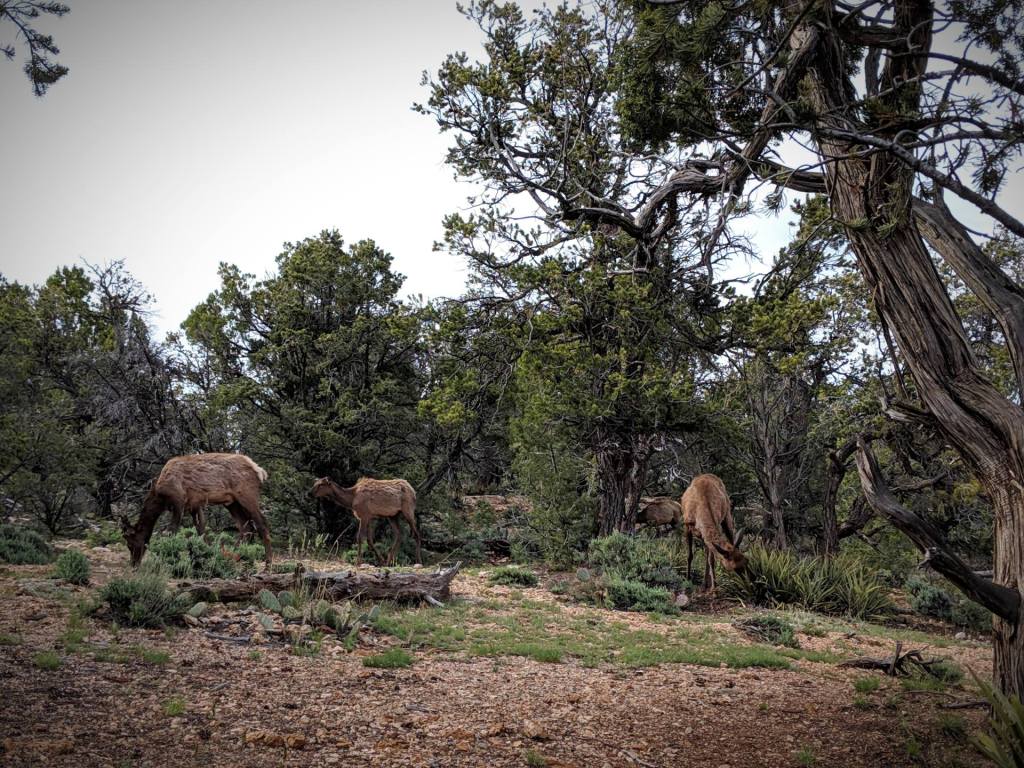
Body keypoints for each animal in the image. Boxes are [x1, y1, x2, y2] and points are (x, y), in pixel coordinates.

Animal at [119, 453, 273, 569]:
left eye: (130, 543)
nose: (133, 564)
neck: (159, 494)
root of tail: (260, 471)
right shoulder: (194, 505)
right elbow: (201, 532)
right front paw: (205, 558)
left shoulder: (179, 501)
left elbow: (171, 531)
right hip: (232, 502)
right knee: (246, 527)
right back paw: (233, 557)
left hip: (247, 495)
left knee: (262, 524)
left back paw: (267, 565)